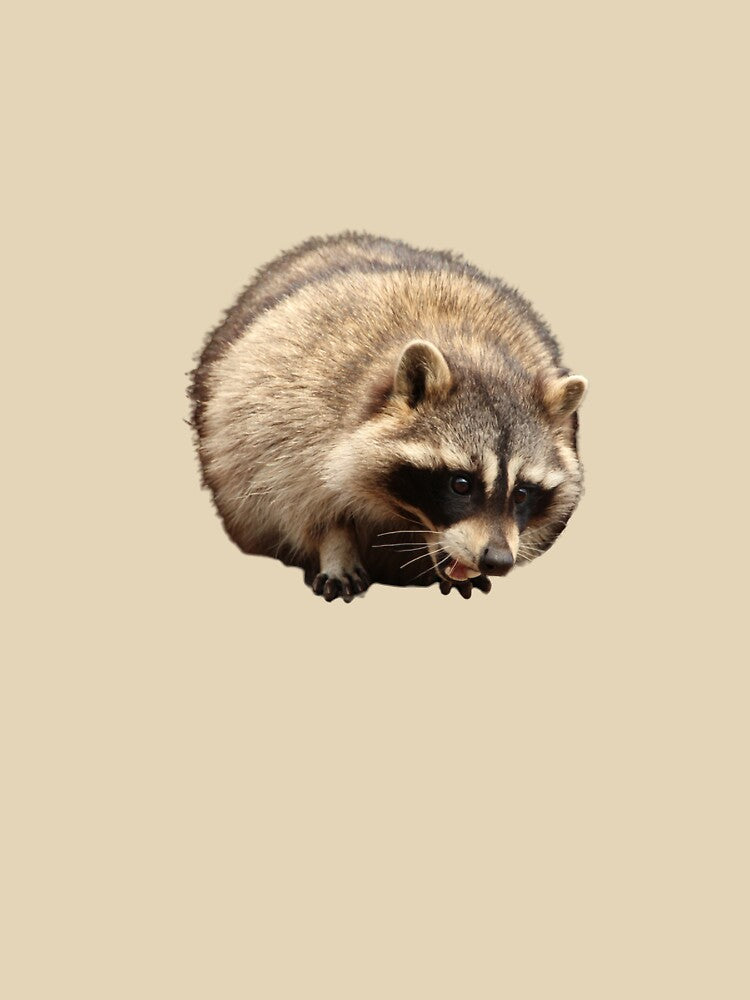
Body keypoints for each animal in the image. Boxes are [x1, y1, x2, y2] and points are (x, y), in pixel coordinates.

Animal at [188, 232, 587, 602]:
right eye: (461, 483)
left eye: (521, 493)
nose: (498, 560)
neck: (473, 353)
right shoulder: (286, 414)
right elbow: (302, 498)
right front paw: (336, 546)